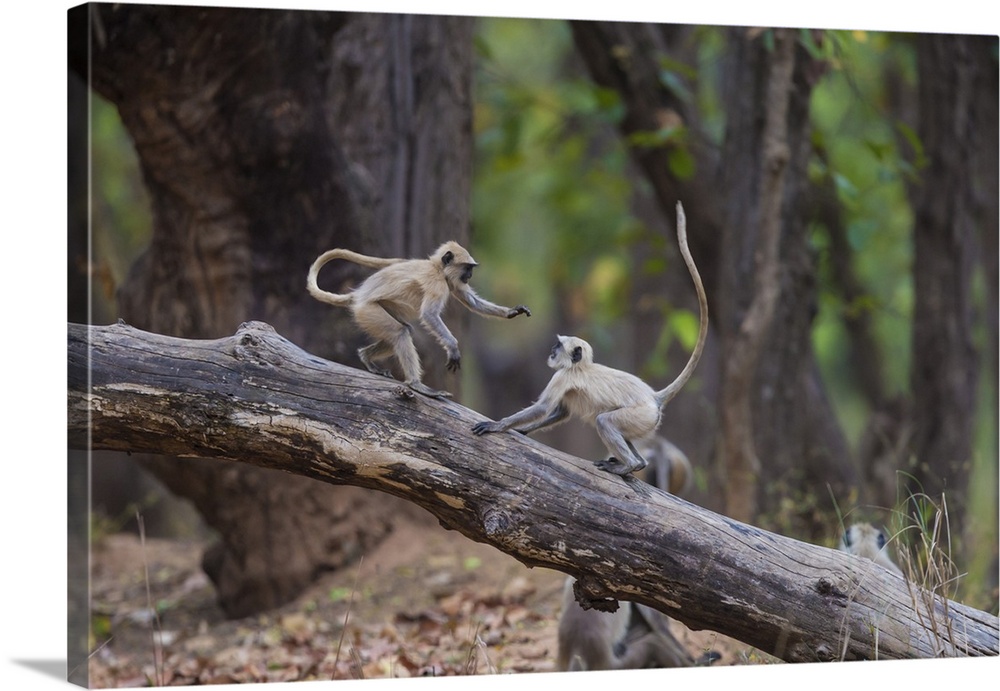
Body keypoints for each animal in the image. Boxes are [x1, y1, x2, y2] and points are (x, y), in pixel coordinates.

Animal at [306, 241, 532, 398]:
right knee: (400, 332)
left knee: (405, 329)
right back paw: (415, 384)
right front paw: (452, 348)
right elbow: (429, 314)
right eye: (467, 267)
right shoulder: (436, 282)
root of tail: (357, 296)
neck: (436, 267)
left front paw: (512, 312)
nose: (469, 275)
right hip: (368, 311)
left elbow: (471, 302)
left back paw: (366, 357)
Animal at [472, 203, 708, 478]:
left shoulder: (563, 376)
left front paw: (498, 425)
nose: (550, 350)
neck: (581, 366)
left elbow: (543, 408)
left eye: (557, 346)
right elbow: (560, 412)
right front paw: (521, 430)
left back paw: (630, 465)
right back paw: (636, 464)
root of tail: (653, 397)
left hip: (639, 415)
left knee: (604, 420)